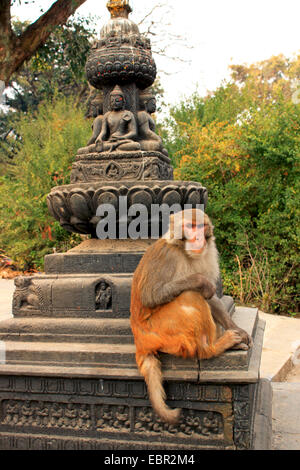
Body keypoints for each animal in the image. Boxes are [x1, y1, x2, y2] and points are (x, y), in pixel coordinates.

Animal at [130, 207, 252, 424]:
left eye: (201, 226)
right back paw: (212, 347)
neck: (184, 252)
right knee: (190, 294)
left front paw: (237, 328)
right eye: (190, 226)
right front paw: (200, 281)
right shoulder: (168, 257)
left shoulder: (209, 253)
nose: (198, 238)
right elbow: (150, 296)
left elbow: (212, 299)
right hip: (161, 331)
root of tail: (139, 340)